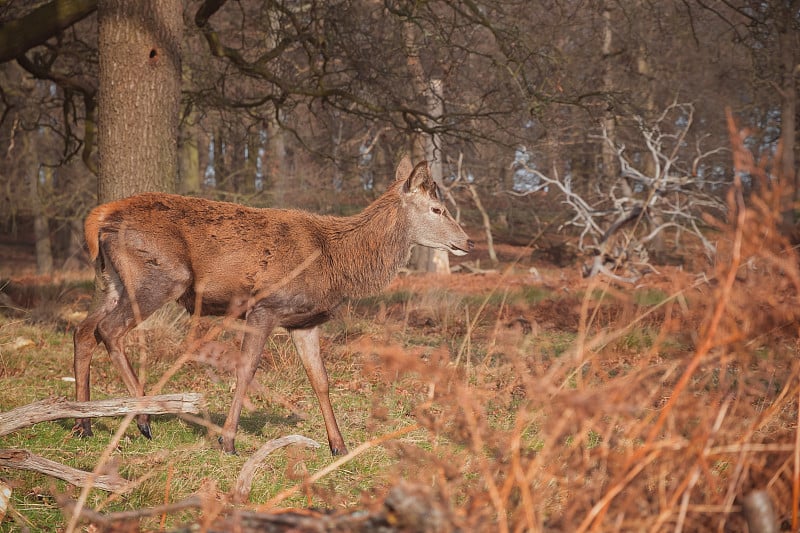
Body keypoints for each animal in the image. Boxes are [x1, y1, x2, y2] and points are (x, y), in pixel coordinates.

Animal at [72, 156, 472, 456]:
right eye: (437, 208)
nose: (467, 241)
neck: (338, 262)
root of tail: (100, 217)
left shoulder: (303, 321)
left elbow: (320, 379)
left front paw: (339, 446)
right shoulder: (264, 306)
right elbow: (246, 369)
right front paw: (228, 441)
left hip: (112, 281)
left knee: (84, 330)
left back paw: (83, 423)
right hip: (162, 276)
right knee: (108, 329)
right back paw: (142, 419)